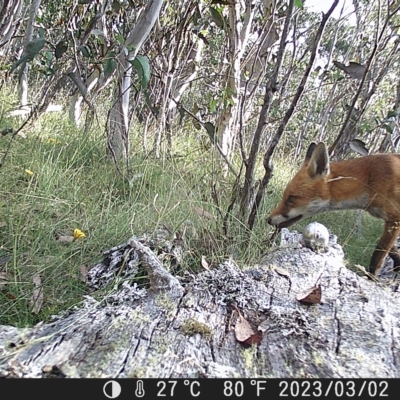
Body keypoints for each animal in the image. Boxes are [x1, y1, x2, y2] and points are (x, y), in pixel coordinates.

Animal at [268, 142, 400, 276]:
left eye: (291, 198)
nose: (268, 219)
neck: (369, 181)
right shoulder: (391, 221)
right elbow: (392, 249)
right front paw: (397, 263)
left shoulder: (394, 219)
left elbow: (378, 255)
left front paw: (371, 277)